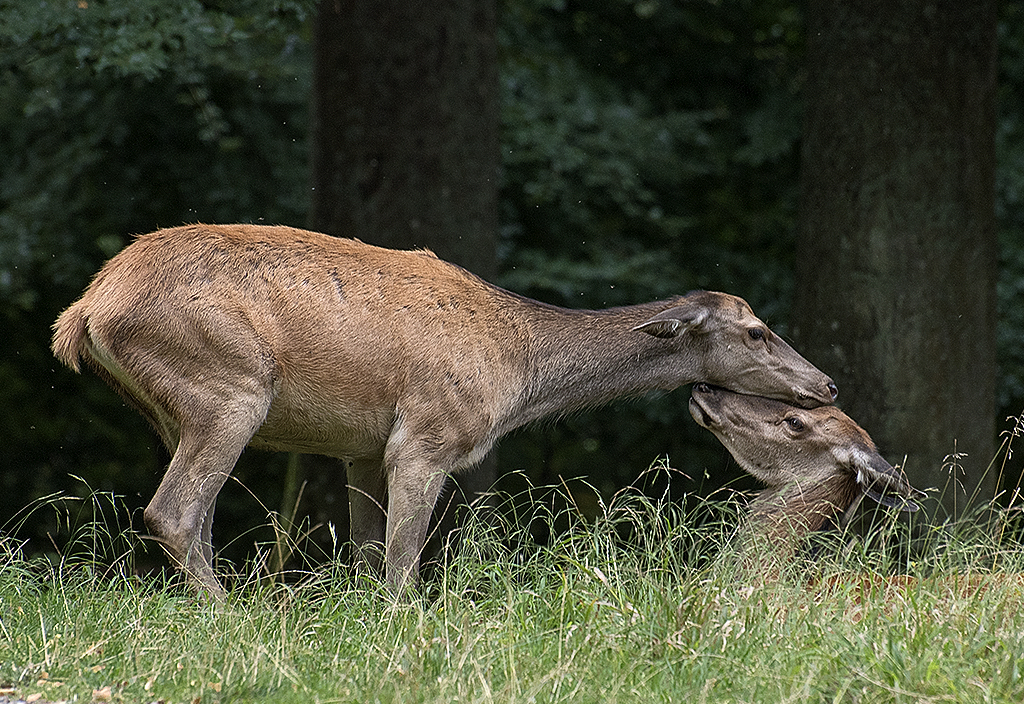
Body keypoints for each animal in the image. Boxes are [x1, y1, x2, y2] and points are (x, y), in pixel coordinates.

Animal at [51, 223, 839, 597]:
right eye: (757, 331)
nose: (827, 385)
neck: (518, 375)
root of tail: (86, 311)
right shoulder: (426, 436)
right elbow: (403, 565)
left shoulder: (364, 449)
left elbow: (369, 554)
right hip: (230, 386)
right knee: (173, 511)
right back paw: (234, 615)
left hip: (183, 412)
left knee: (198, 515)